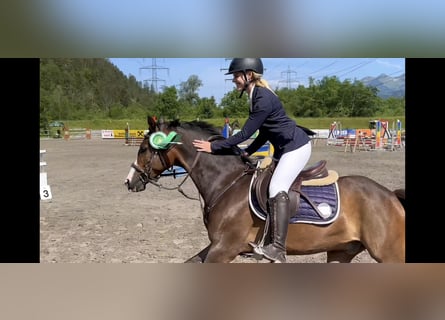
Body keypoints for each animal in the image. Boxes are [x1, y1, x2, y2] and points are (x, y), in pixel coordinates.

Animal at [123, 117, 404, 262]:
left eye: (144, 149)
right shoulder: (218, 246)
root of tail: (390, 196)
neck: (226, 182)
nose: (129, 181)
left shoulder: (224, 248)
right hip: (341, 251)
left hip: (389, 254)